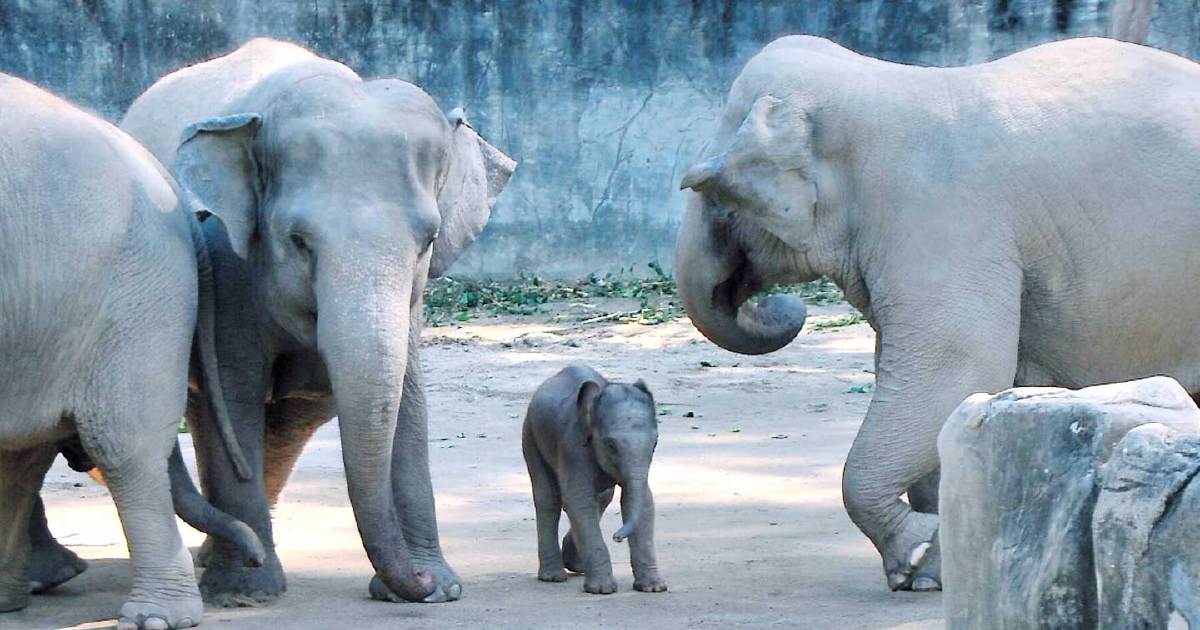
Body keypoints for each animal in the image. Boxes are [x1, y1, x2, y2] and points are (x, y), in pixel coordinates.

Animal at [115, 38, 515, 605]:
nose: (415, 584)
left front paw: (439, 588)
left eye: (429, 241)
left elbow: (407, 394)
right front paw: (245, 595)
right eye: (298, 241)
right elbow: (234, 389)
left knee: (287, 424)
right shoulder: (230, 264)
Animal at [522, 366, 667, 594]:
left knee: (602, 497)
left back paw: (576, 565)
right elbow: (578, 500)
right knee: (548, 499)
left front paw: (653, 588)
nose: (616, 537)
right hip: (530, 436)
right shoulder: (573, 446)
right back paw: (554, 577)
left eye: (655, 443)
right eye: (611, 446)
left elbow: (643, 502)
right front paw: (601, 590)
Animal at [674, 35, 1200, 592]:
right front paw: (936, 568)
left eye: (719, 199)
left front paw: (917, 559)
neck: (876, 83)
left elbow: (957, 367)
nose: (782, 305)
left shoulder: (941, 217)